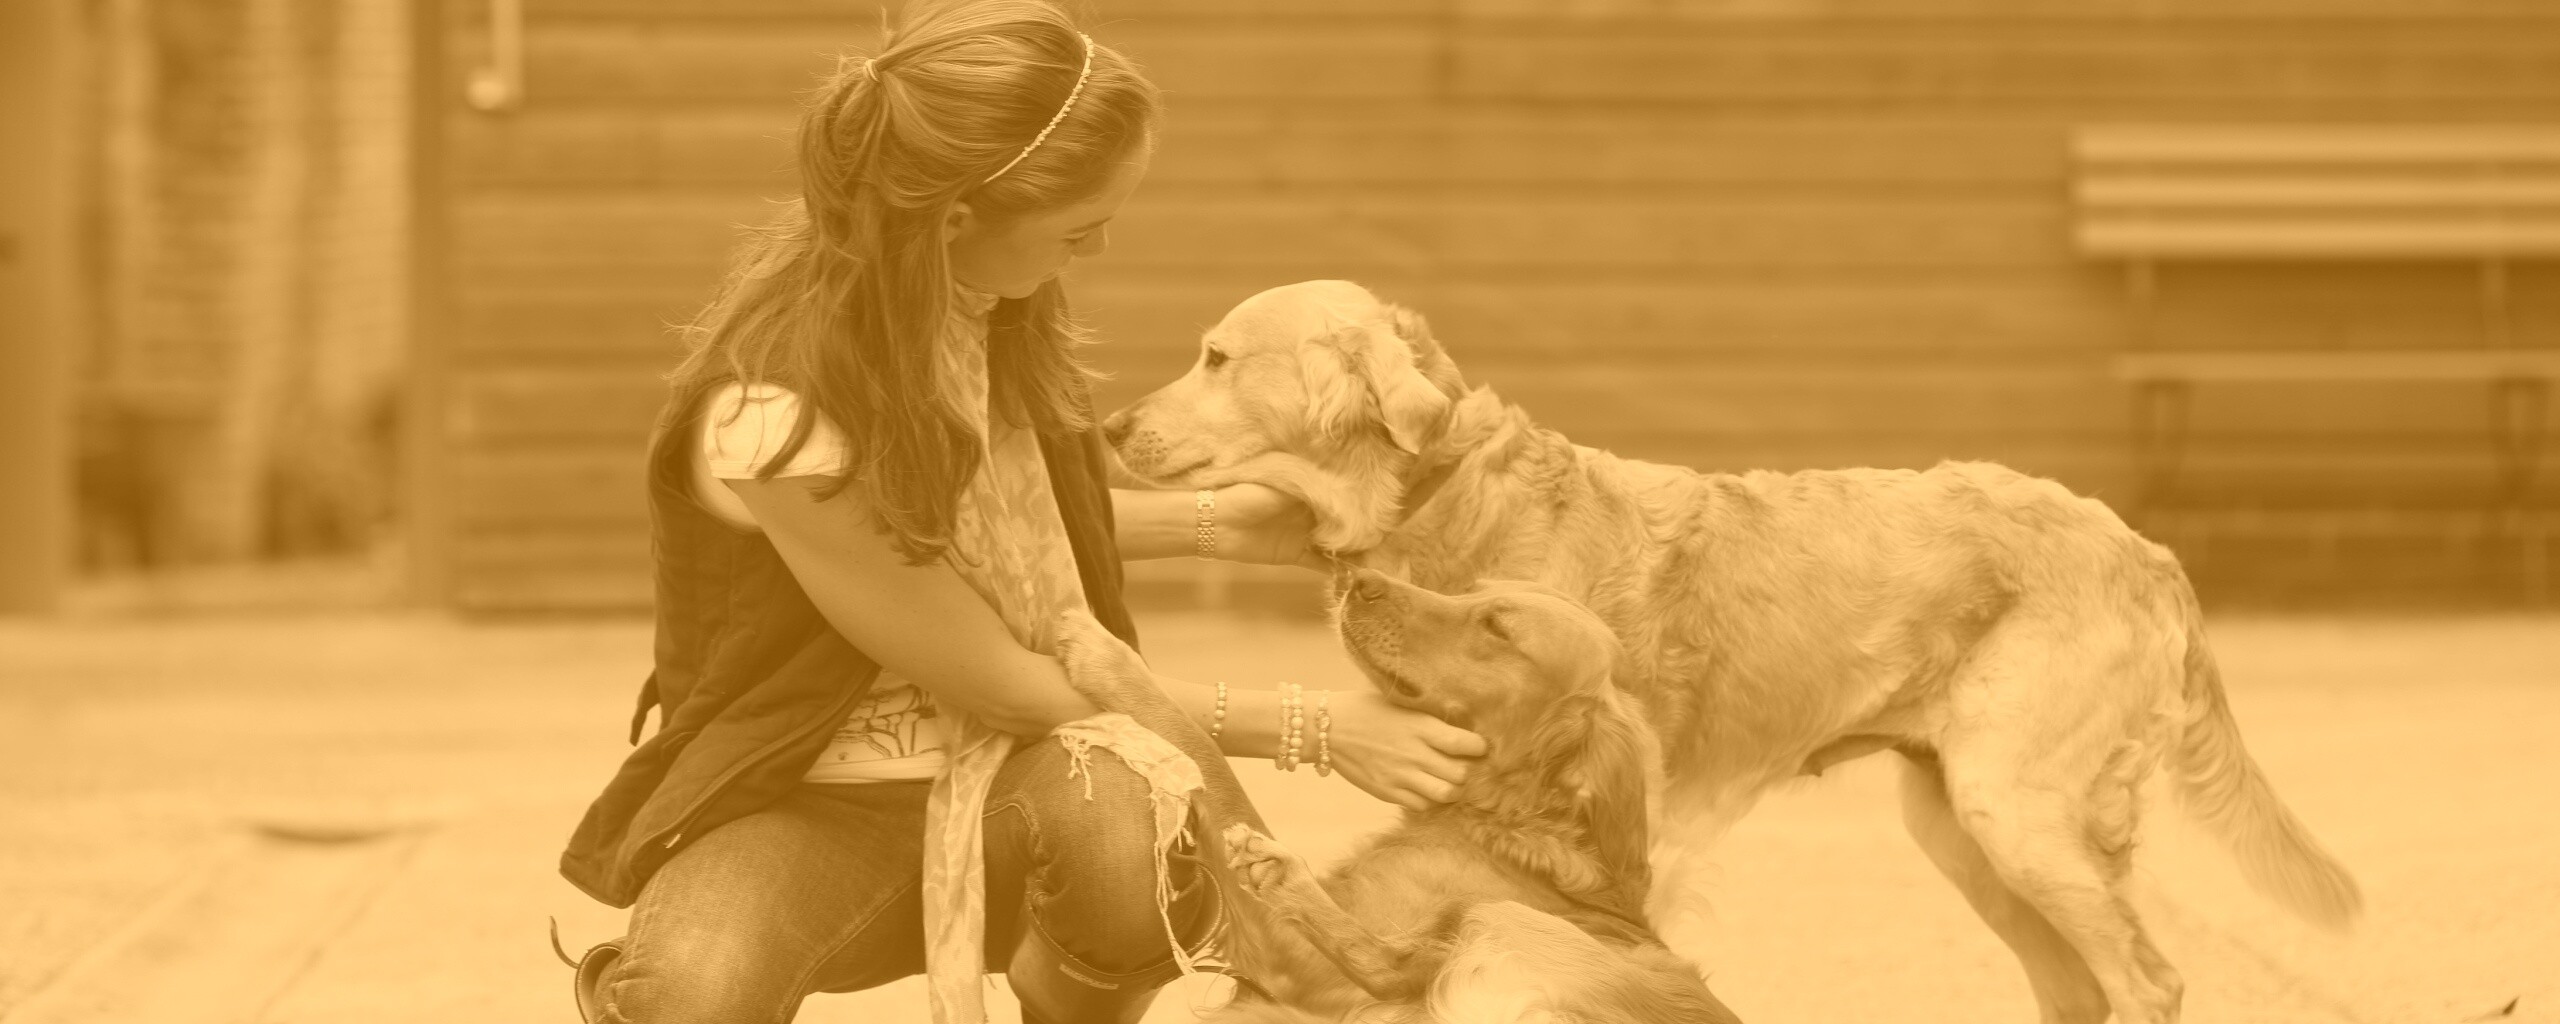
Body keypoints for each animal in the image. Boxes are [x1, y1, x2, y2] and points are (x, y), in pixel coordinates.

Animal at [1051, 571, 1741, 1024]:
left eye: (1496, 626)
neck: (1501, 818)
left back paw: (1283, 874)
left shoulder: (1299, 969)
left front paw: (1108, 655)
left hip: (1501, 919)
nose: (1360, 578)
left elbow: (1205, 756)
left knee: (1393, 964)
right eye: (1473, 590)